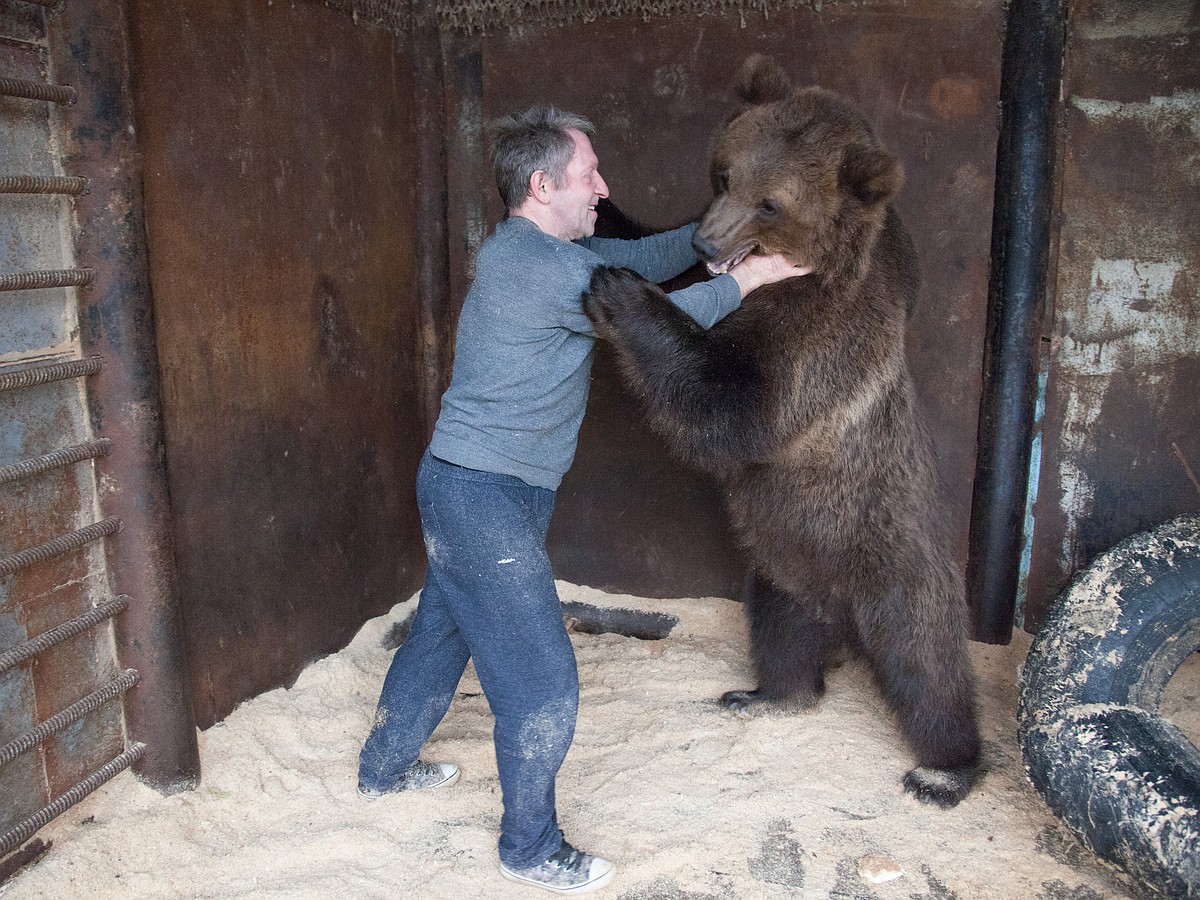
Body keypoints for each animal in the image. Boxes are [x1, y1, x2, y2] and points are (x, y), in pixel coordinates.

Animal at [583, 52, 984, 806]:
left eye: (772, 201)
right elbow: (659, 255)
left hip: (894, 562)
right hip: (783, 562)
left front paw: (620, 292)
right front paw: (600, 214)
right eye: (723, 172)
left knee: (926, 666)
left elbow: (734, 410)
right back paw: (766, 693)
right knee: (780, 627)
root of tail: (844, 616)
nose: (708, 236)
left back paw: (944, 767)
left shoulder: (822, 335)